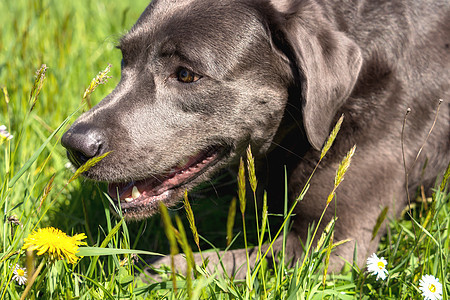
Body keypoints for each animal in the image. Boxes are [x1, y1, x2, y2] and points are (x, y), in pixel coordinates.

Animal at [60, 0, 450, 278]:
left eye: (185, 74)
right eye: (125, 59)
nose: (75, 146)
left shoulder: (330, 243)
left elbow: (191, 265)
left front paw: (149, 274)